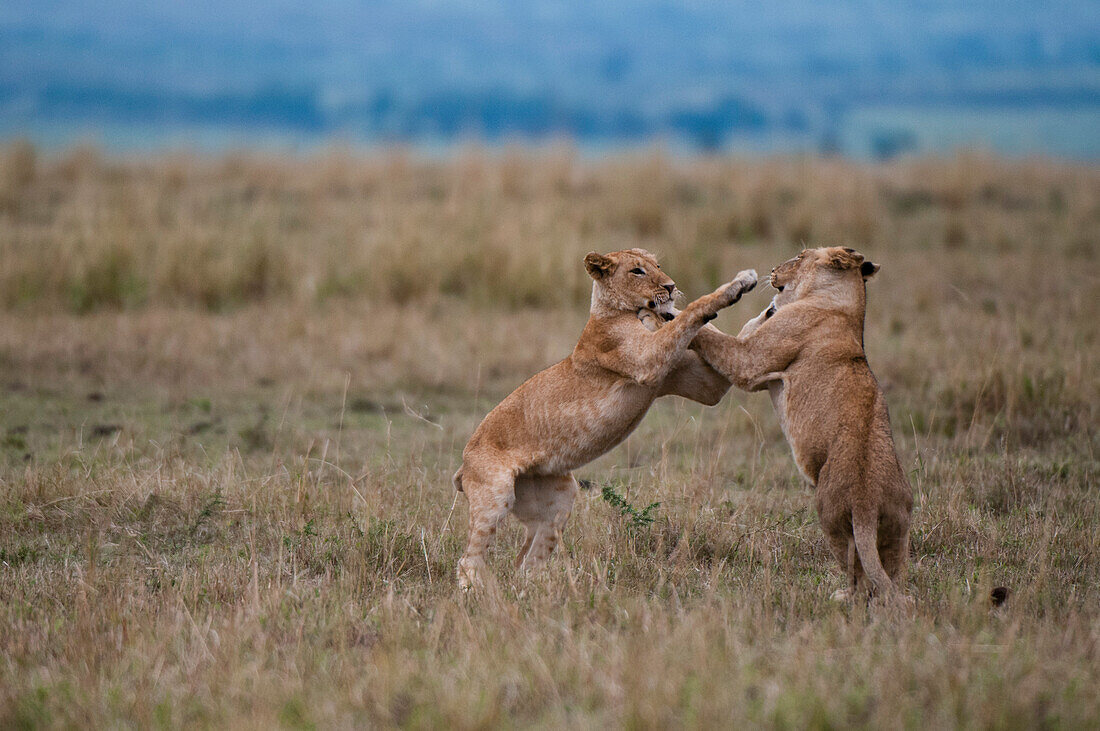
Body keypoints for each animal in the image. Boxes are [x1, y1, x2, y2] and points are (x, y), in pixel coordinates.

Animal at [453, 248, 756, 589]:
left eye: (657, 266)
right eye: (637, 271)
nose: (670, 286)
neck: (616, 312)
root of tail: (464, 462)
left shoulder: (705, 385)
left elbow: (705, 332)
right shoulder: (646, 359)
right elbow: (693, 312)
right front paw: (735, 285)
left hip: (558, 499)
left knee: (527, 559)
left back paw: (536, 589)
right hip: (496, 494)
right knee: (469, 558)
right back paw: (475, 590)